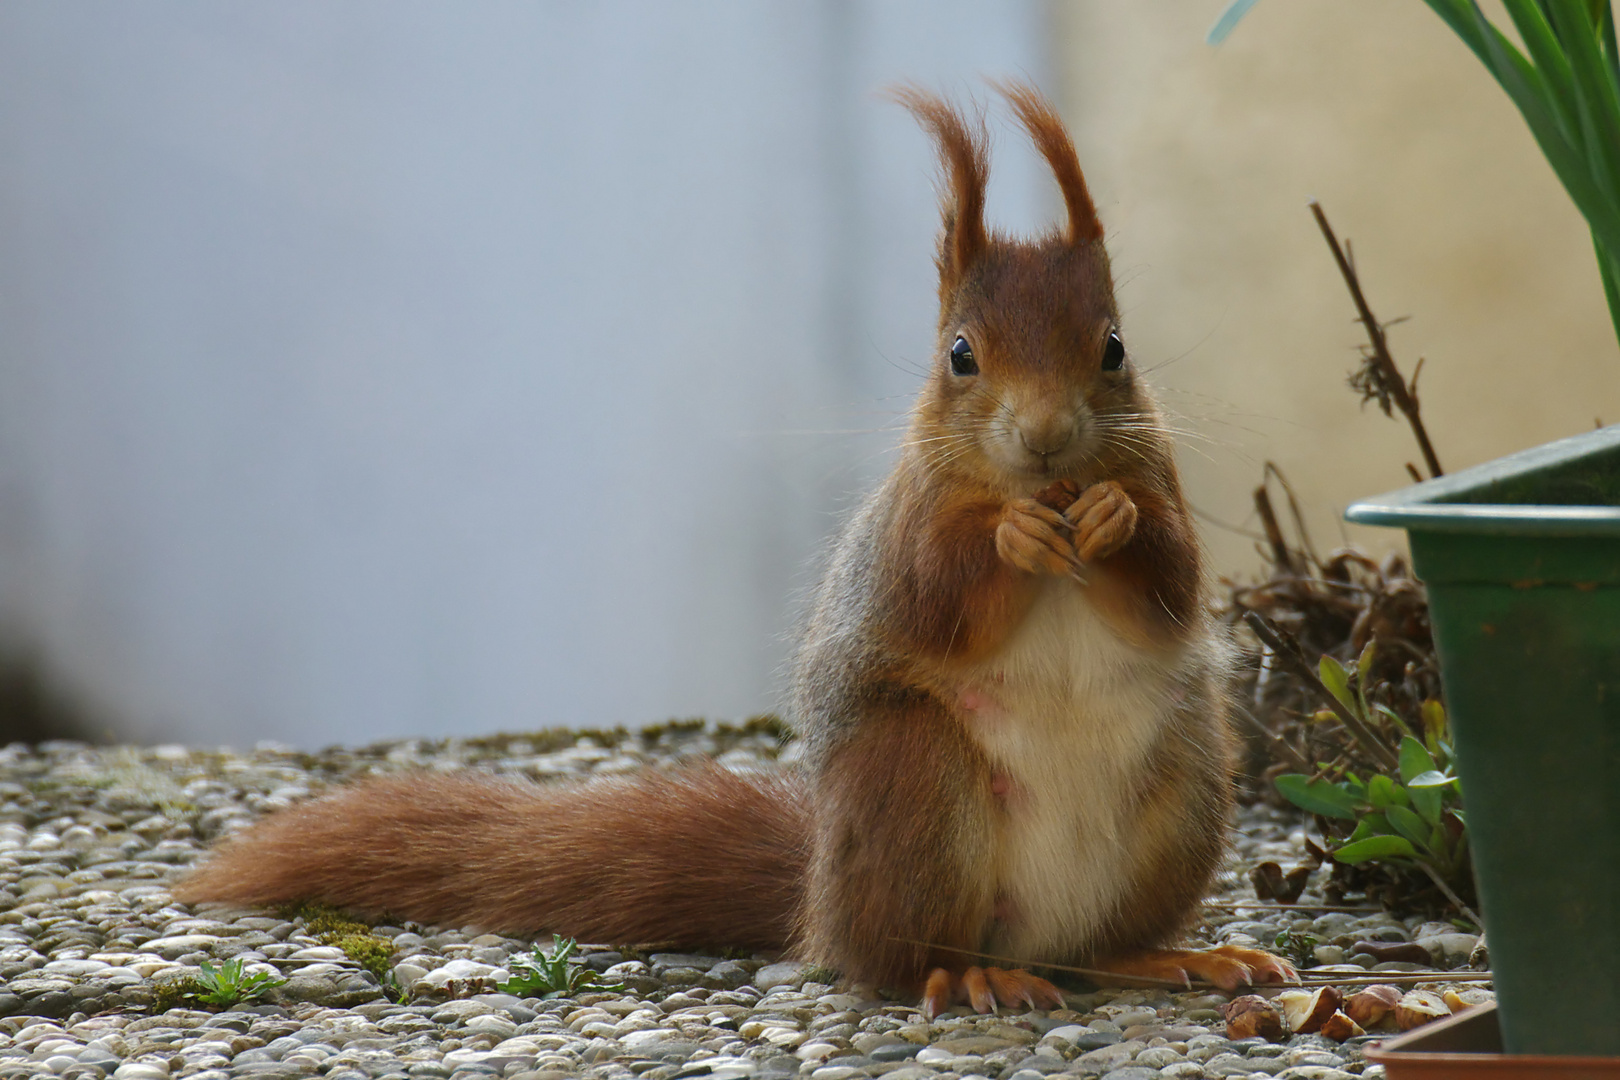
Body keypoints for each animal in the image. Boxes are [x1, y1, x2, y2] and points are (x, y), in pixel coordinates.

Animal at [174, 82, 1289, 1016]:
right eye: (960, 356)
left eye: (1115, 348)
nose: (1049, 437)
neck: (1040, 485)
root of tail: (819, 901)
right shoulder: (906, 531)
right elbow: (937, 592)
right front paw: (1012, 536)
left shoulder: (1157, 478)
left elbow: (1170, 580)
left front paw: (1112, 522)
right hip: (914, 785)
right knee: (889, 960)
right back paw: (963, 975)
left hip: (1187, 788)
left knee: (1100, 950)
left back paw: (1175, 956)